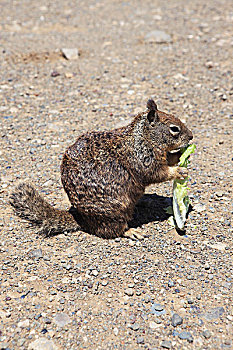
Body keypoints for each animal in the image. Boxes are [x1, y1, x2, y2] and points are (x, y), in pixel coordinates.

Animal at [10, 100, 193, 239]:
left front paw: (181, 156)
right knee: (112, 231)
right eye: (174, 128)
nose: (191, 136)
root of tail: (83, 219)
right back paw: (131, 231)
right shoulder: (144, 159)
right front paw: (179, 171)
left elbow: (168, 159)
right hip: (116, 211)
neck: (143, 137)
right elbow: (157, 173)